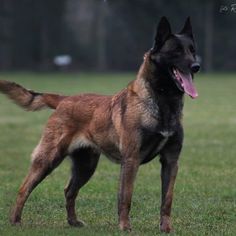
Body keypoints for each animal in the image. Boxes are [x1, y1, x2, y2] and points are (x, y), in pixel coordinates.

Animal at [0, 17, 199, 233]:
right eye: (176, 51)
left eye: (192, 50)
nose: (196, 66)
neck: (163, 103)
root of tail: (64, 99)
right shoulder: (131, 160)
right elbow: (125, 197)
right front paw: (125, 227)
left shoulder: (170, 161)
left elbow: (167, 200)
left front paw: (166, 228)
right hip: (48, 159)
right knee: (24, 188)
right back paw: (15, 220)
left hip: (86, 166)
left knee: (69, 191)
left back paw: (73, 221)